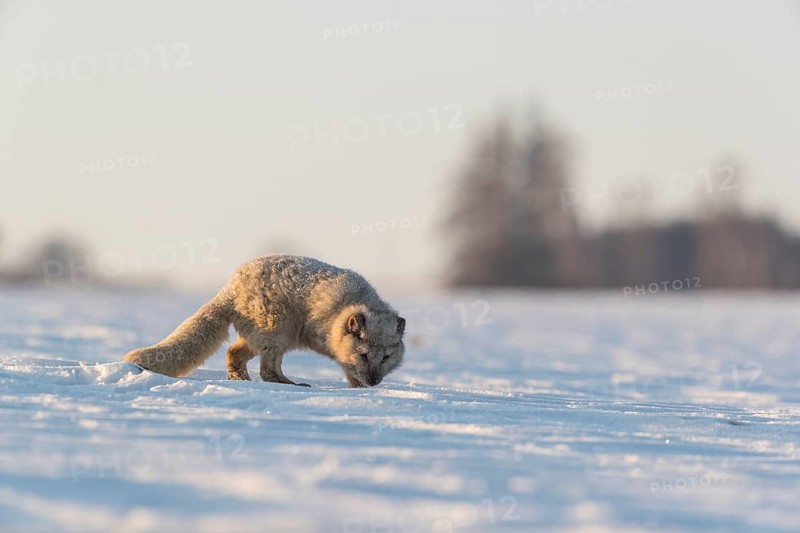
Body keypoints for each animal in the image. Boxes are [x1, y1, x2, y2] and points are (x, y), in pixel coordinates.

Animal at [124, 255, 406, 388]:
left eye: (386, 357)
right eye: (364, 355)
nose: (374, 381)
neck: (344, 307)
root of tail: (230, 286)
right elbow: (349, 368)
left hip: (262, 337)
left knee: (233, 353)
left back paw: (241, 381)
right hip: (278, 333)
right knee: (268, 370)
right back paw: (291, 384)